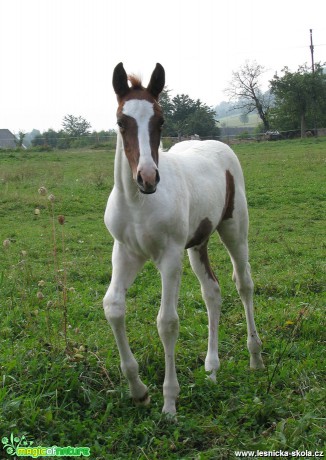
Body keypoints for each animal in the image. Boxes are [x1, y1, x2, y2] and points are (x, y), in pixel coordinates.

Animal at [103, 62, 264, 416]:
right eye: (121, 122)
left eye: (160, 120)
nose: (147, 178)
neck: (138, 202)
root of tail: (219, 145)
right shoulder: (125, 253)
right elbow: (113, 308)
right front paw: (138, 391)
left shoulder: (170, 257)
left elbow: (167, 322)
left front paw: (169, 402)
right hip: (197, 244)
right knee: (212, 292)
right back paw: (212, 368)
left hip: (234, 230)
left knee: (243, 284)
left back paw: (255, 356)